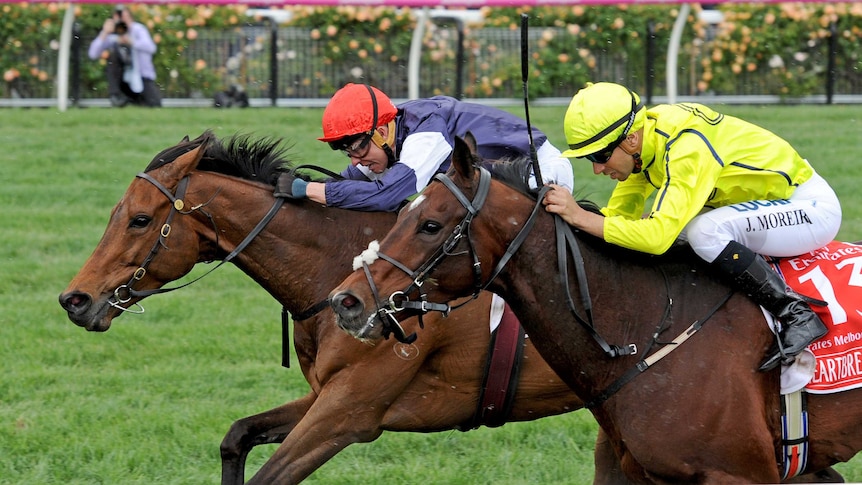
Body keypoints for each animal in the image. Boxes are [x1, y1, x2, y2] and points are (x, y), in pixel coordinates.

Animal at [57, 131, 592, 484]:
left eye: (140, 219)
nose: (74, 300)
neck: (337, 272)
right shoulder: (323, 394)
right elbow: (236, 436)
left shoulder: (350, 412)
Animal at [328, 134, 860, 482]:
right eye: (403, 212)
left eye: (431, 225)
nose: (346, 302)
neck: (648, 327)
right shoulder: (628, 470)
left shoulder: (741, 473)